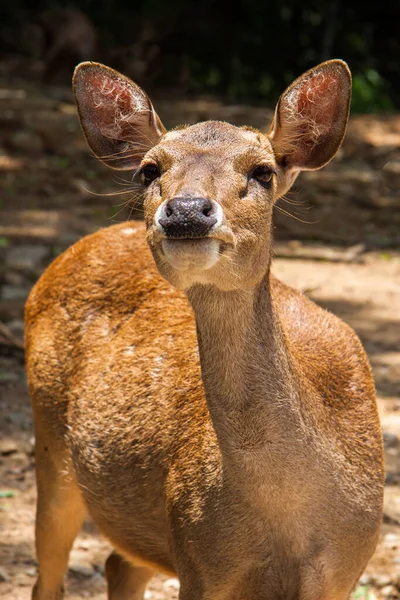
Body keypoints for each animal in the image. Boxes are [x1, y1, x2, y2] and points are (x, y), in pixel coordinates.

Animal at [25, 62, 384, 600]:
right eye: (150, 169)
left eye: (263, 171)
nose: (187, 210)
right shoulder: (199, 557)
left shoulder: (344, 569)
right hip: (50, 445)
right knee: (50, 574)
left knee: (119, 564)